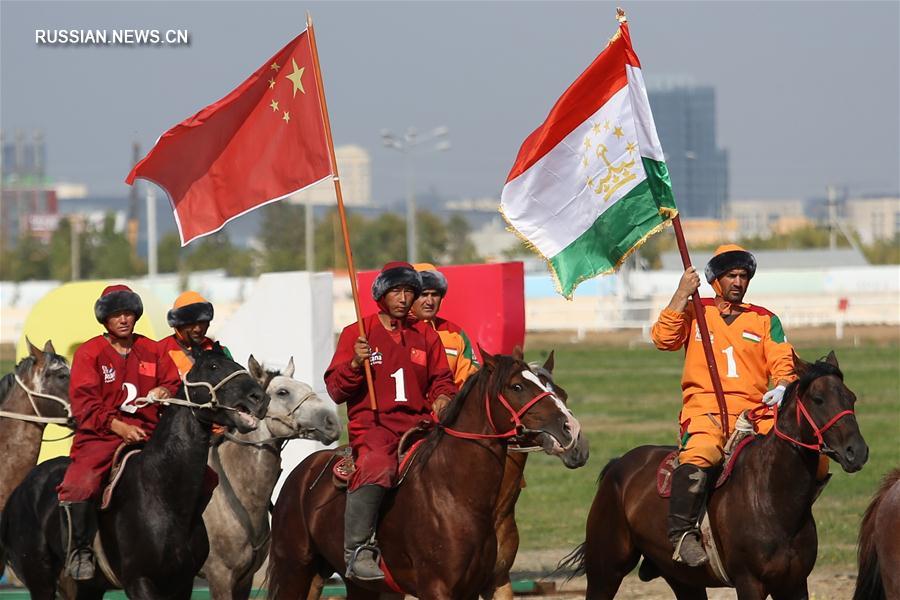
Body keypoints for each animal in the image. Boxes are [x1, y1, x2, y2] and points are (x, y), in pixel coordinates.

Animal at [0, 350, 268, 596]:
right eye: (213, 366)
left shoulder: (182, 582)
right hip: (41, 581)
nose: (259, 398)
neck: (163, 494)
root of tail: (19, 491)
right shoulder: (139, 582)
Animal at [268, 350, 592, 596]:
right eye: (516, 387)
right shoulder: (437, 588)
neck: (458, 494)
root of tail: (301, 474)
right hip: (296, 571)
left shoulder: (491, 582)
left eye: (560, 393)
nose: (573, 432)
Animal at [568, 352, 868, 600]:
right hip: (605, 571)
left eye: (851, 397)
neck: (772, 499)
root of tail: (618, 465)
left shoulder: (793, 584)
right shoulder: (749, 583)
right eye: (818, 399)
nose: (857, 451)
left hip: (683, 579)